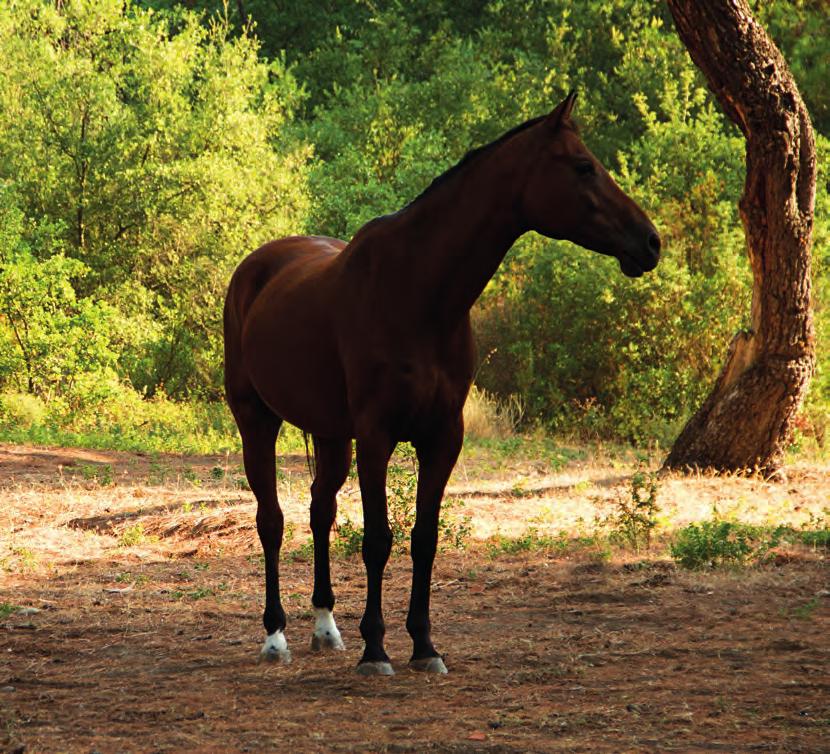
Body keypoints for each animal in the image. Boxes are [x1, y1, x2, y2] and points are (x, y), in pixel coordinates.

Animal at [223, 91, 664, 672]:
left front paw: (424, 645)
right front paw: (376, 648)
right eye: (582, 166)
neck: (417, 293)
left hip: (331, 433)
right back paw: (276, 635)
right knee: (271, 520)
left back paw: (325, 625)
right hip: (257, 419)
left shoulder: (442, 437)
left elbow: (424, 538)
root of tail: (256, 267)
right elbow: (378, 540)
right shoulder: (378, 435)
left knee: (321, 511)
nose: (650, 242)